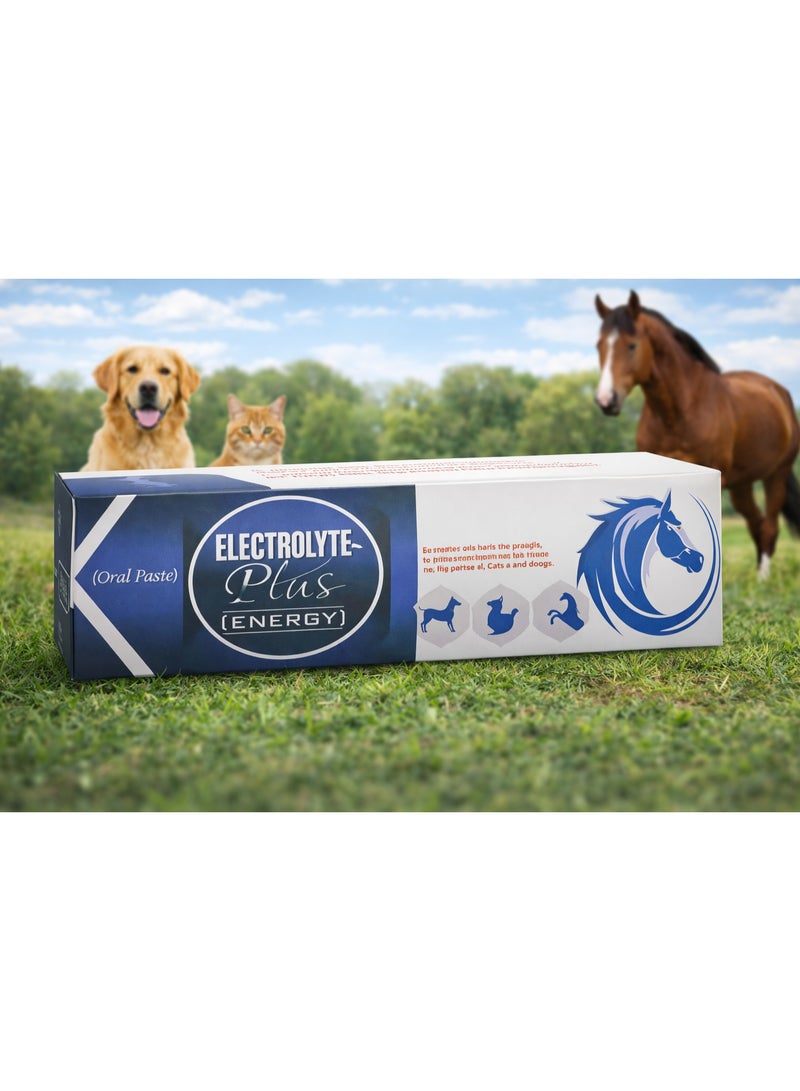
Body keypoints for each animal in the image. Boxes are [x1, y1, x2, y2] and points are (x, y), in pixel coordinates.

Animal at [594, 290, 800, 579]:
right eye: (599, 346)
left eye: (632, 345)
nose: (606, 400)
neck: (681, 409)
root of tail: (778, 392)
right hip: (742, 485)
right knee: (757, 525)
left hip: (776, 475)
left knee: (769, 527)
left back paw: (763, 580)